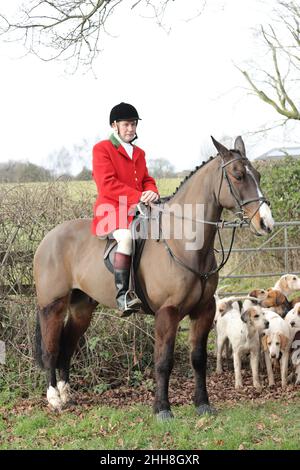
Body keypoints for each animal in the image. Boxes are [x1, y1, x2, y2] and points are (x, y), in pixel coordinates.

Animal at [32, 137, 274, 418]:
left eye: (258, 175)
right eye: (237, 175)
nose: (266, 223)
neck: (184, 242)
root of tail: (48, 238)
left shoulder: (203, 310)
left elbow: (198, 358)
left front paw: (202, 404)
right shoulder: (167, 313)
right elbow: (163, 361)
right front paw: (162, 409)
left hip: (82, 308)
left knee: (68, 346)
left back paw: (66, 392)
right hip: (53, 305)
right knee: (51, 348)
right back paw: (54, 398)